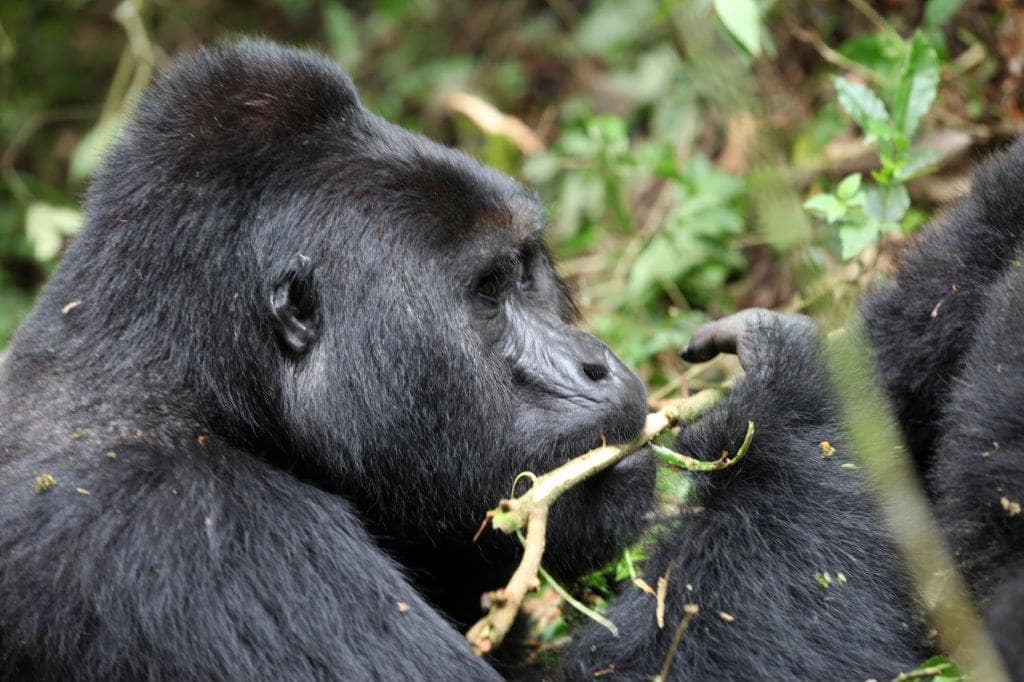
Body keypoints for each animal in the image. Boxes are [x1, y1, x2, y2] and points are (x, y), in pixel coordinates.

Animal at [9, 38, 1024, 679]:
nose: (595, 363)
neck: (202, 382)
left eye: (530, 270)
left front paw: (999, 230)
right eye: (488, 291)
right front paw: (793, 402)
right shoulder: (200, 535)